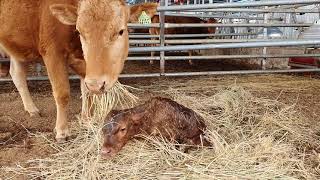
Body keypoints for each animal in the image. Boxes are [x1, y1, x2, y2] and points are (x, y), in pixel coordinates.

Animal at [0, 0, 131, 142]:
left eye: (121, 31)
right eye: (79, 31)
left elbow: (86, 91)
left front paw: (87, 119)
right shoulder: (53, 53)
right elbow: (62, 94)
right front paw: (62, 131)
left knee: (17, 74)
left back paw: (31, 109)